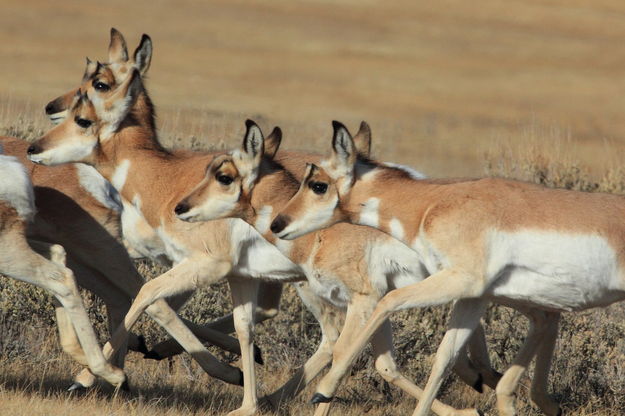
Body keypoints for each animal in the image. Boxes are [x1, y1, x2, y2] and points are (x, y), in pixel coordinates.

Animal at [25, 66, 498, 414]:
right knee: (374, 350)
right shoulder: (239, 274)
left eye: (88, 107)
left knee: (345, 344)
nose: (34, 146)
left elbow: (148, 298)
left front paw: (97, 375)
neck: (166, 176)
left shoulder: (205, 264)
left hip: (329, 290)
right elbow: (232, 322)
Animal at [268, 121, 624, 416]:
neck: (432, 204)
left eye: (318, 184)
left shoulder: (456, 282)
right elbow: (444, 358)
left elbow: (387, 304)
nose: (276, 224)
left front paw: (323, 391)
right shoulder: (473, 296)